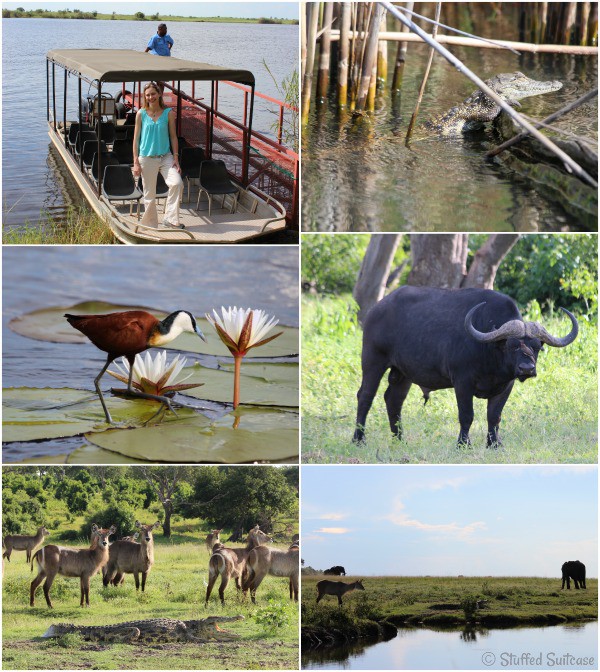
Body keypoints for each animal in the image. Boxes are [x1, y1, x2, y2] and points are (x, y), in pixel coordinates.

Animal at [354, 284, 580, 446]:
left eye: (536, 347)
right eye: (512, 345)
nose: (527, 369)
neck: (490, 353)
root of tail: (376, 310)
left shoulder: (506, 385)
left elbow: (494, 416)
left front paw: (494, 444)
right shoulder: (462, 382)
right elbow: (466, 415)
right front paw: (463, 444)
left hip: (403, 373)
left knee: (393, 400)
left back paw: (399, 440)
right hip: (373, 360)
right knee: (365, 396)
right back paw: (359, 439)